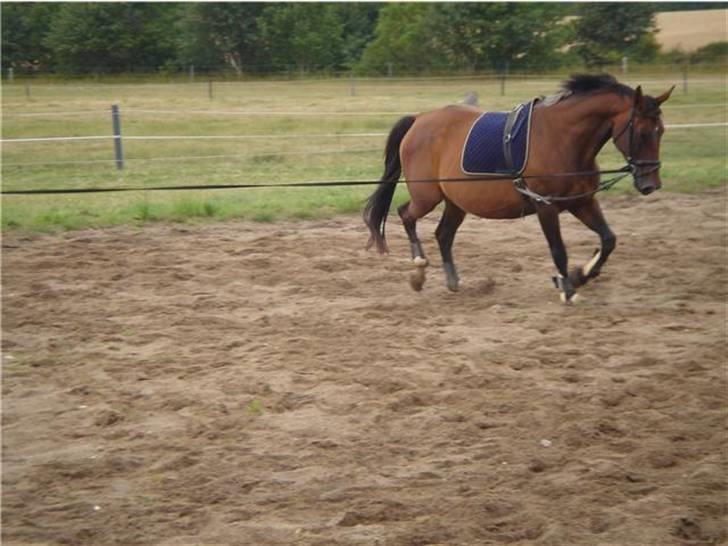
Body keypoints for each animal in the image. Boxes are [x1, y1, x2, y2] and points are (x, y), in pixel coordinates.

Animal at [364, 73, 676, 302]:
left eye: (661, 130)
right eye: (642, 132)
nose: (651, 184)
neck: (563, 139)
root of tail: (419, 119)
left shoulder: (582, 202)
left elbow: (609, 240)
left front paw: (579, 275)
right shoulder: (545, 205)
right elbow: (558, 250)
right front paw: (568, 288)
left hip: (456, 202)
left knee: (443, 234)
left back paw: (452, 280)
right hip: (427, 196)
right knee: (406, 214)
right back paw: (418, 269)